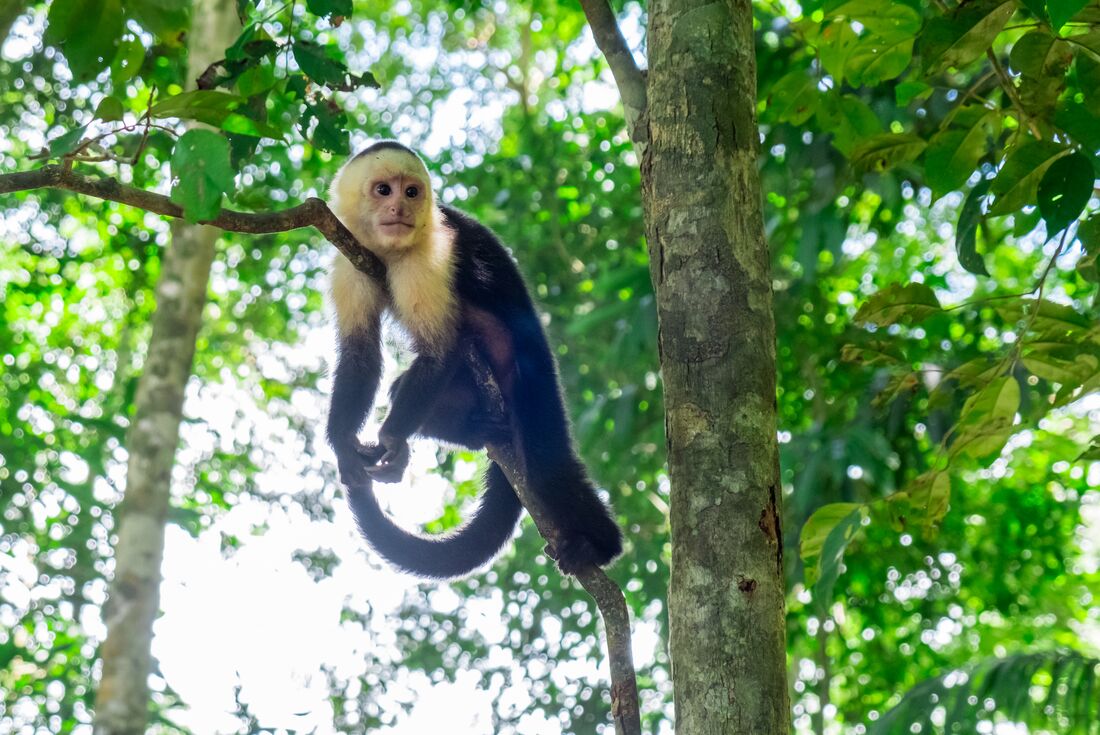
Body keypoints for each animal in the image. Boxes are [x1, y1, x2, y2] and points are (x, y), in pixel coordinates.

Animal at [326, 140, 623, 579]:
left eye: (411, 192)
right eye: (383, 190)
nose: (400, 209)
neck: (388, 251)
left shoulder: (430, 256)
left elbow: (439, 349)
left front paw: (392, 440)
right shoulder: (348, 261)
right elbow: (360, 353)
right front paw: (344, 445)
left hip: (533, 379)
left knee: (546, 467)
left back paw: (599, 545)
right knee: (403, 390)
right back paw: (478, 429)